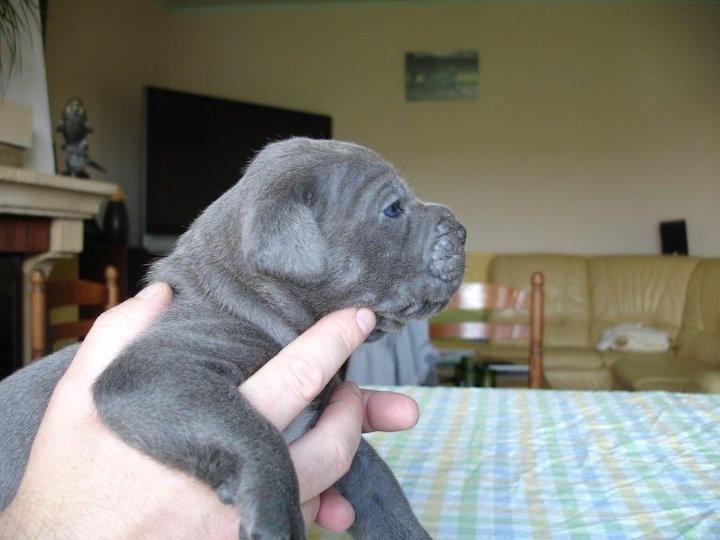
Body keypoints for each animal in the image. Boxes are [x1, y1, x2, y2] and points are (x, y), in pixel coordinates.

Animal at [0, 138, 466, 536]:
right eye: (393, 210)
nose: (462, 230)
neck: (250, 305)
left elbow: (385, 496)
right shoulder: (152, 373)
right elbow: (252, 432)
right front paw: (277, 517)